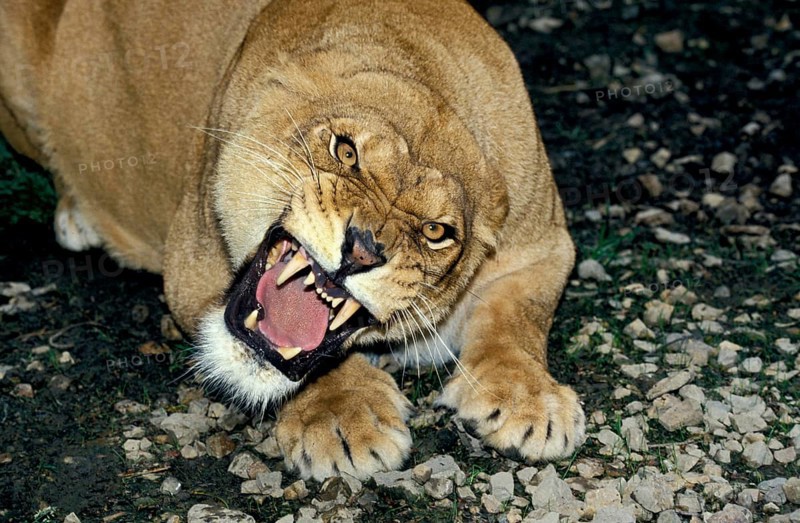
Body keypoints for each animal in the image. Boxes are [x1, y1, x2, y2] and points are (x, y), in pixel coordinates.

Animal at [0, 0, 585, 480]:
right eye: (345, 152)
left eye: (436, 232)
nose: (362, 249)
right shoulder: (190, 262)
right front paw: (345, 419)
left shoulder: (545, 244)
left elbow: (518, 319)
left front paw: (530, 401)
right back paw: (78, 216)